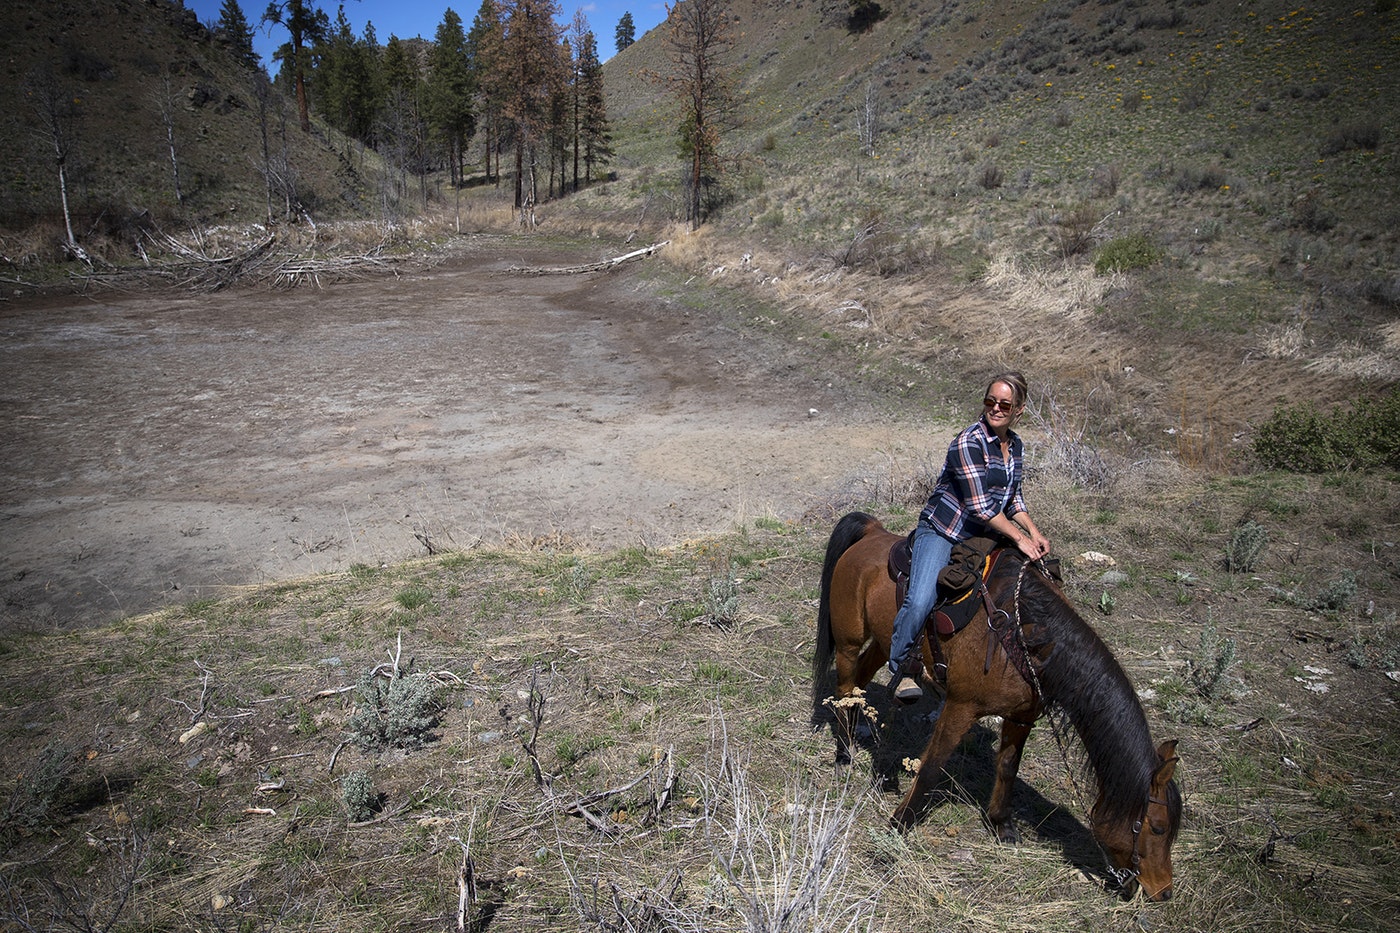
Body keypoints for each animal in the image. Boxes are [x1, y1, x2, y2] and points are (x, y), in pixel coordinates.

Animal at [812, 512, 1181, 896]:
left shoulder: (1022, 716)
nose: (1163, 891)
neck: (1026, 635)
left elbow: (1007, 767)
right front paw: (898, 825)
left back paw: (858, 729)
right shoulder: (960, 706)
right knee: (845, 685)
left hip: (885, 643)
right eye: (1157, 827)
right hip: (849, 641)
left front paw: (1001, 825)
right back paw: (843, 753)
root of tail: (874, 531)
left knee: (861, 680)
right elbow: (930, 768)